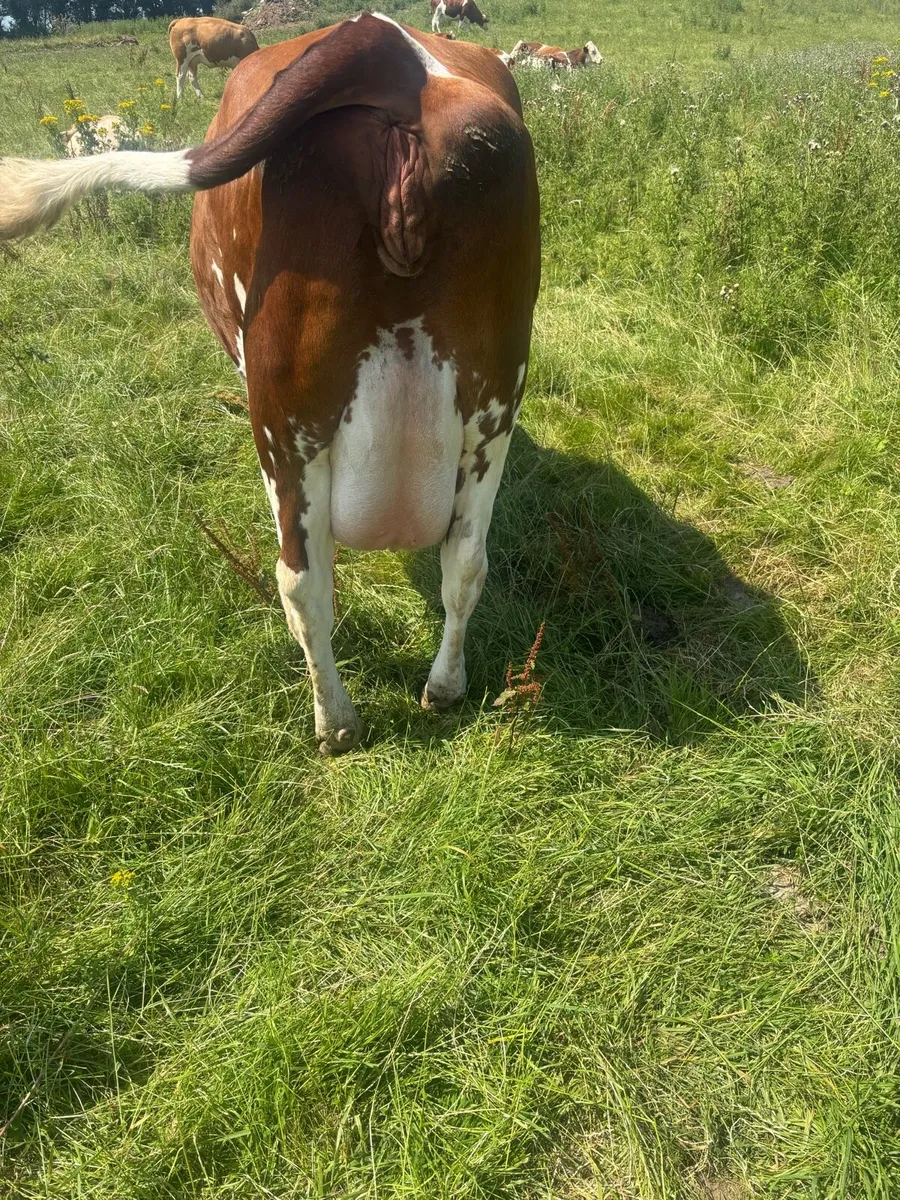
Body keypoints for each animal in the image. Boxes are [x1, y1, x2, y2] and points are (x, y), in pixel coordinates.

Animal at [0, 14, 541, 756]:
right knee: (464, 563)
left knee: (303, 584)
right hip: (492, 405)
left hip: (286, 413)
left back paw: (335, 724)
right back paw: (444, 688)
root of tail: (390, 52)